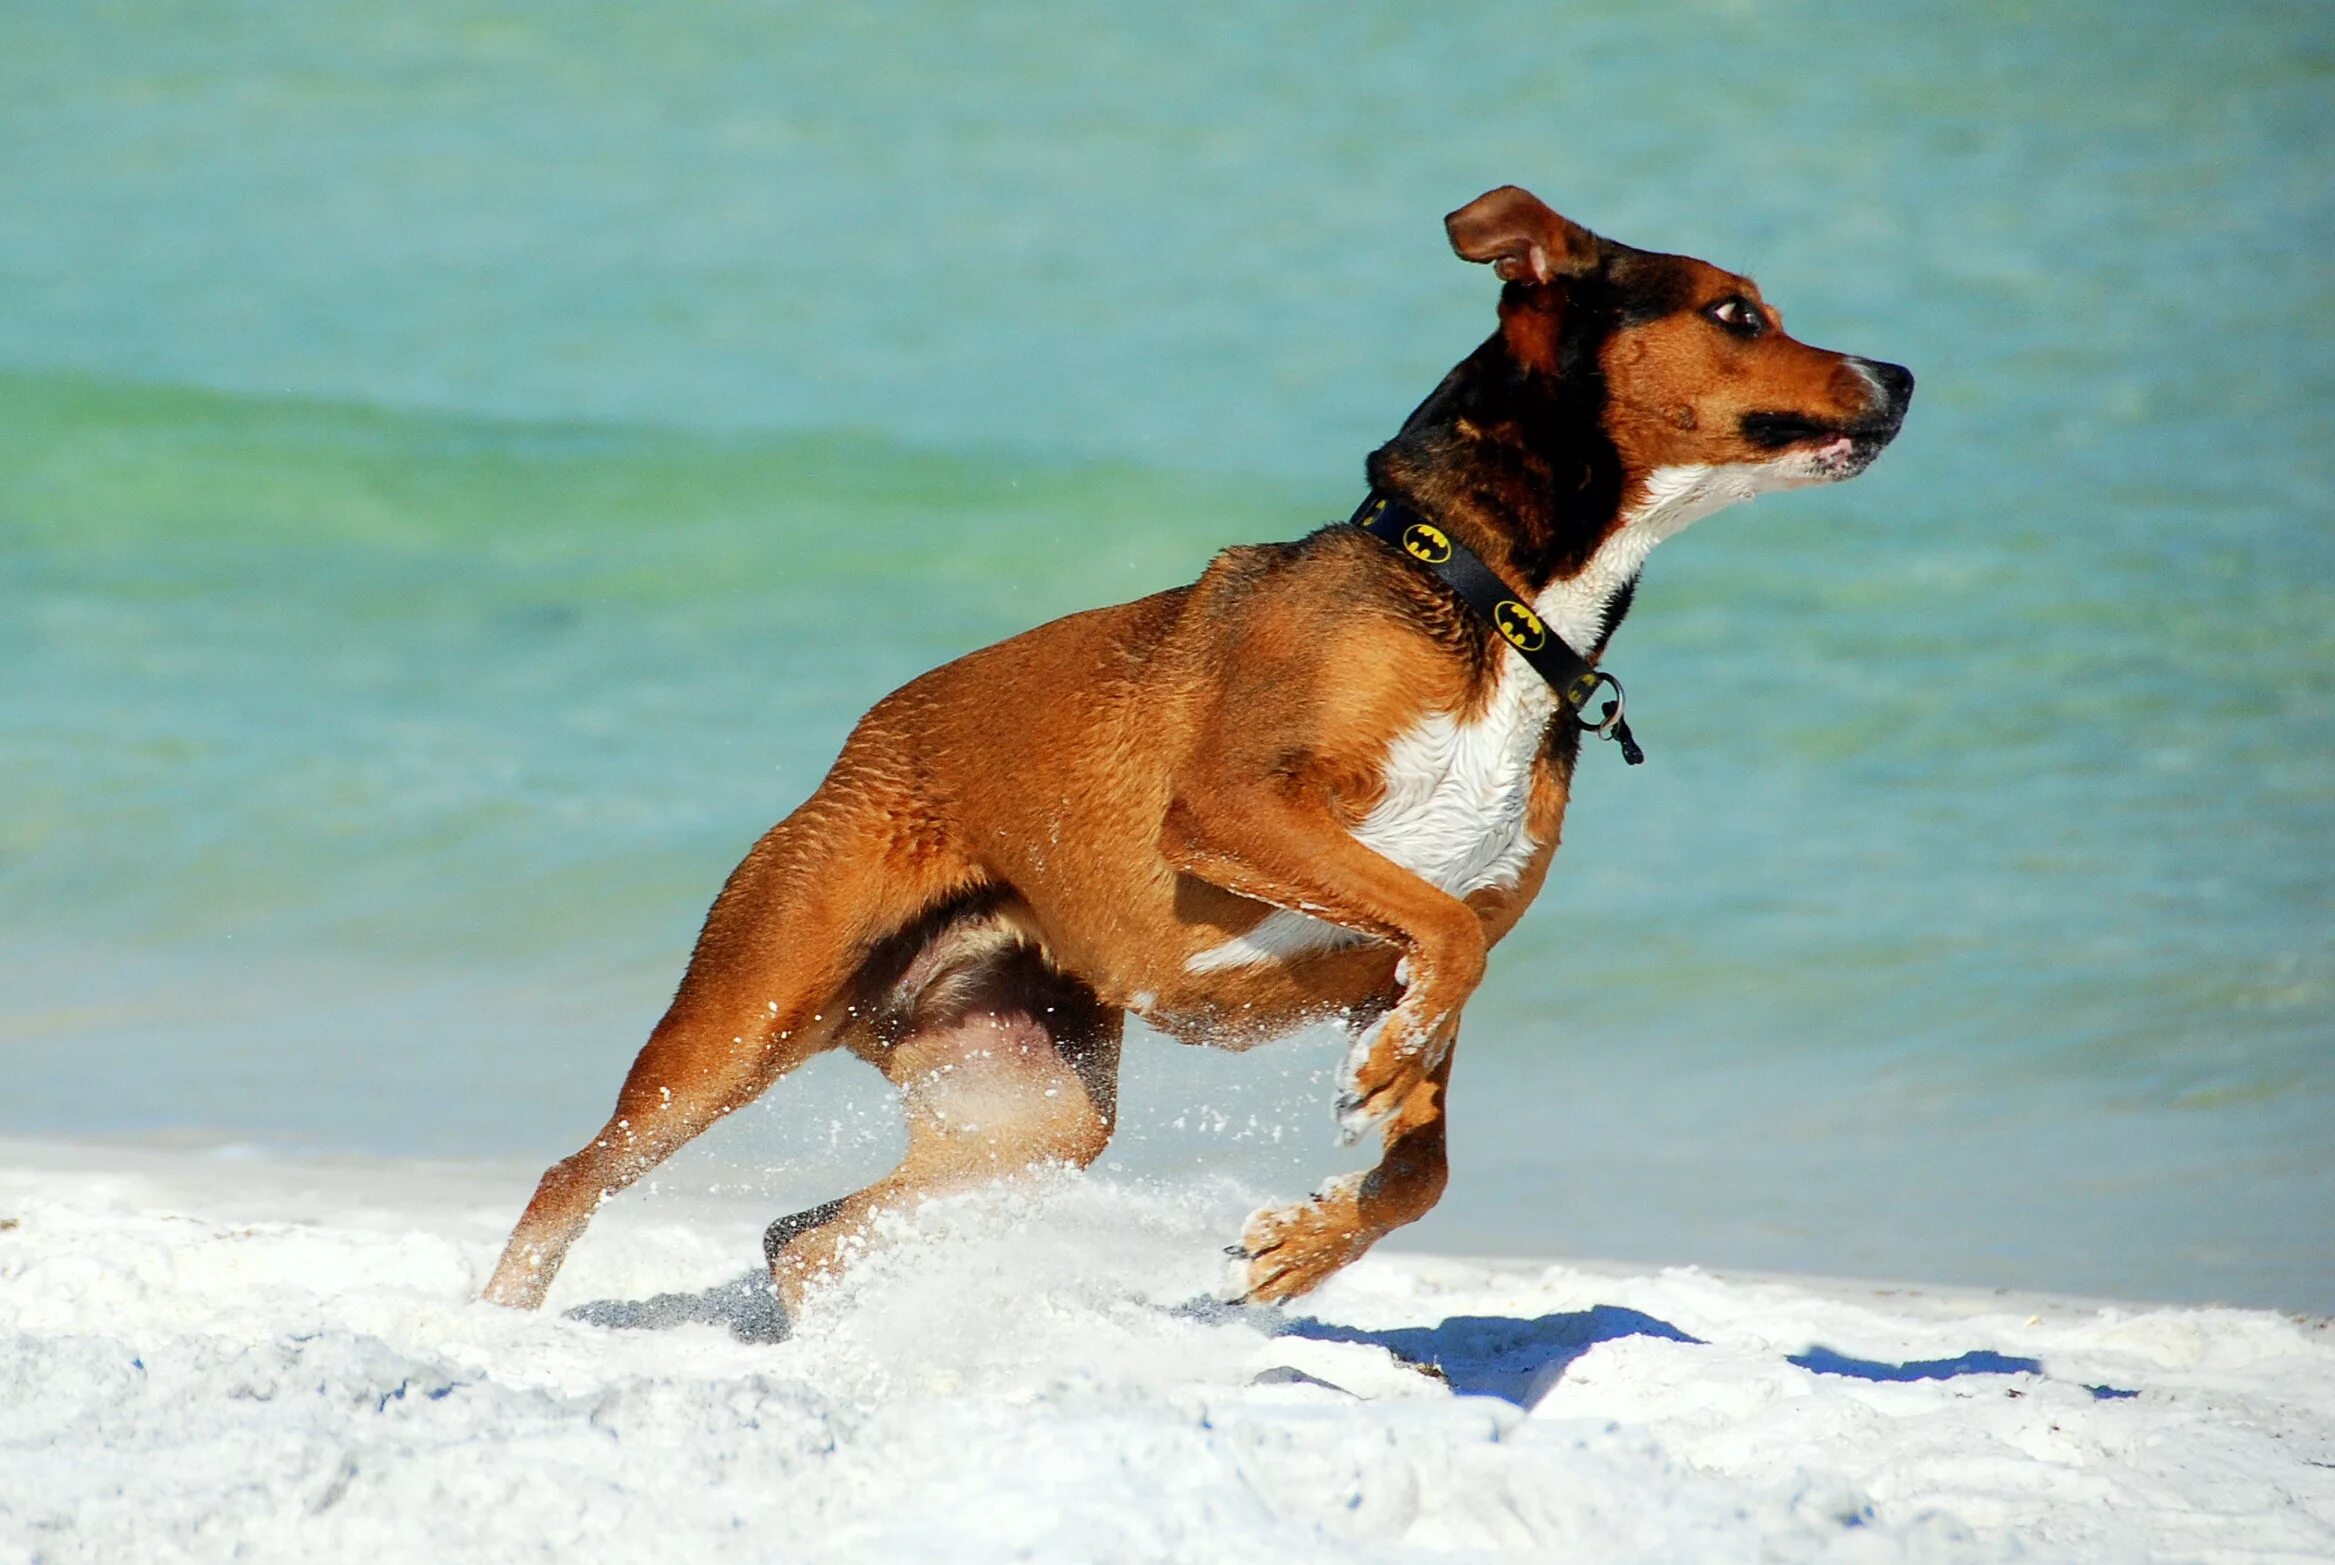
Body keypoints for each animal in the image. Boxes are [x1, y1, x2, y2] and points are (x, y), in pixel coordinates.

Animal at [478, 181, 1914, 1308]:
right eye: (1735, 313)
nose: (1901, 375)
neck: (1484, 603)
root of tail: (858, 747)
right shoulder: (1238, 810)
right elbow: (1436, 936)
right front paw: (1375, 1082)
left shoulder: (1385, 948)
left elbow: (1427, 1141)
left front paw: (1310, 1234)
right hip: (750, 1014)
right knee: (577, 1170)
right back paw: (509, 1314)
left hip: (1035, 1107)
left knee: (802, 1236)